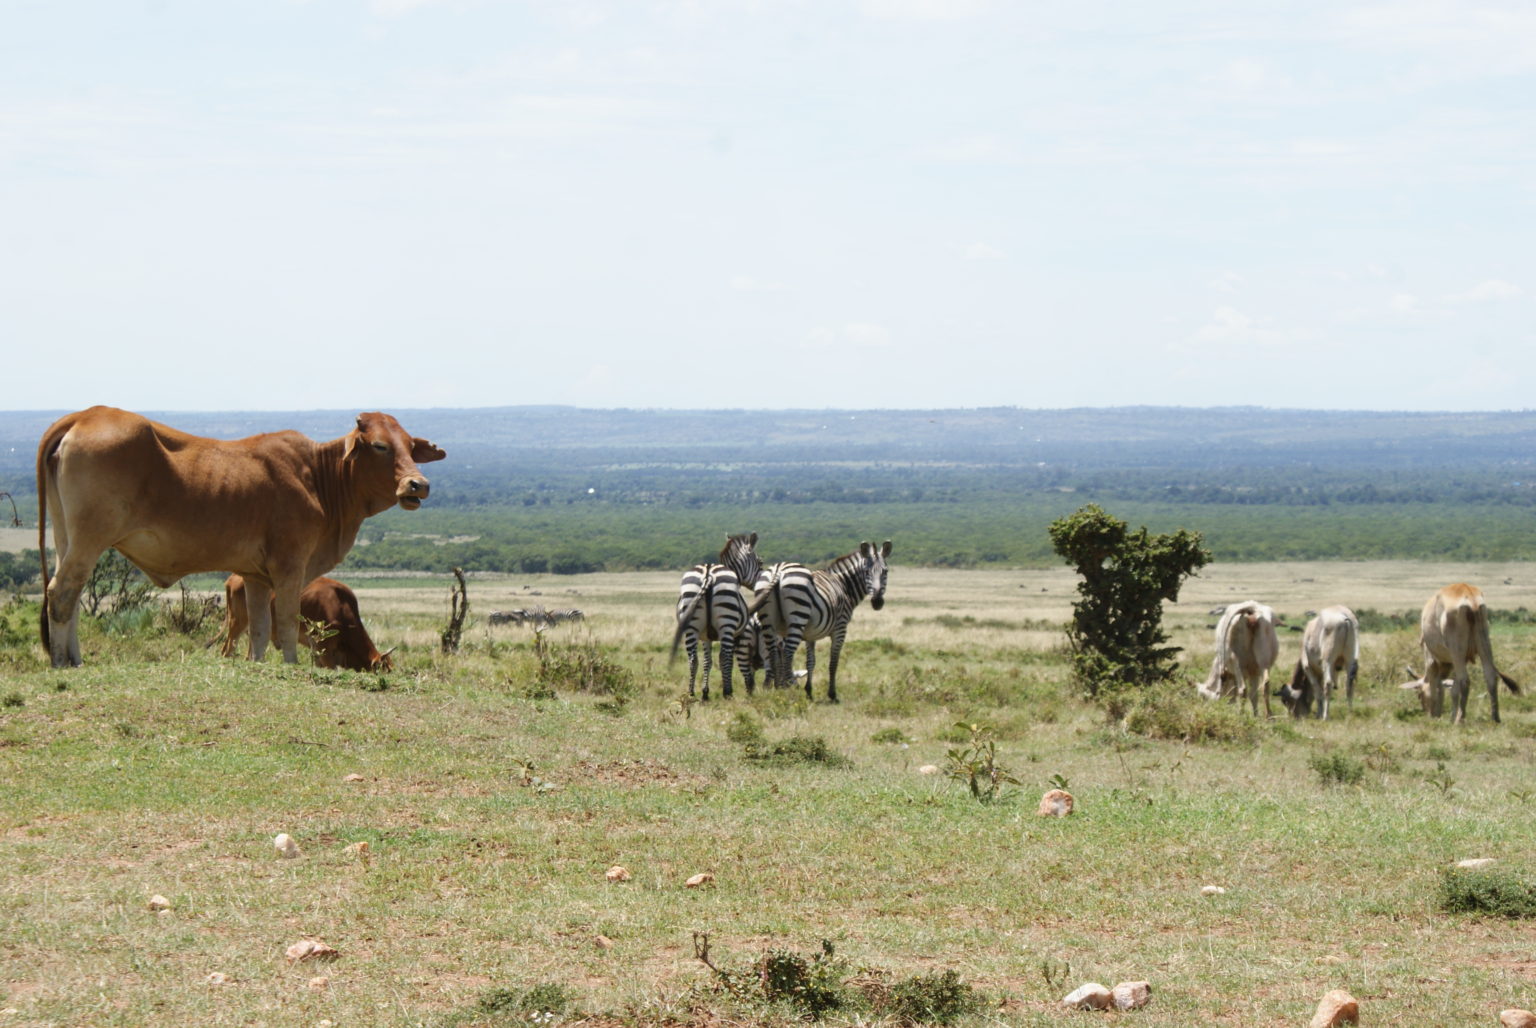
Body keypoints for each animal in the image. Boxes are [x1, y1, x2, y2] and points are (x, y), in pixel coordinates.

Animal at [219, 568, 396, 673]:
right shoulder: (324, 648)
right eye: (385, 670)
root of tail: (233, 578)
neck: (341, 605)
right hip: (238, 622)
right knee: (226, 650)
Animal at [672, 534, 761, 700]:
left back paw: (691, 693)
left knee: (693, 659)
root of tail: (708, 574)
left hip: (691, 624)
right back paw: (727, 693)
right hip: (726, 623)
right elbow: (726, 660)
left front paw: (705, 692)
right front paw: (730, 688)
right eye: (760, 562)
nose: (758, 587)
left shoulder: (705, 636)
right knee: (725, 657)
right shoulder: (734, 633)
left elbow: (708, 661)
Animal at [749, 540, 897, 700]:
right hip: (797, 617)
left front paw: (809, 691)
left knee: (772, 654)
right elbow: (833, 662)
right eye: (867, 572)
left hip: (768, 621)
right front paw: (832, 694)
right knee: (788, 653)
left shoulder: (810, 635)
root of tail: (778, 570)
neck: (843, 585)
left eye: (885, 571)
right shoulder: (840, 629)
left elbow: (810, 662)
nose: (877, 602)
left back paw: (775, 690)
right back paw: (791, 688)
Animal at [1400, 580, 1517, 725]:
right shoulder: (1457, 661)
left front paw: (1437, 716)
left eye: (1419, 695)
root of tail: (1469, 596)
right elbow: (1453, 690)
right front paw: (1450, 716)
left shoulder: (1431, 659)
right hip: (1483, 646)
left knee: (1465, 680)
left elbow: (1435, 686)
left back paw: (1460, 719)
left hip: (1457, 651)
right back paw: (1495, 718)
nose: (1427, 713)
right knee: (1490, 676)